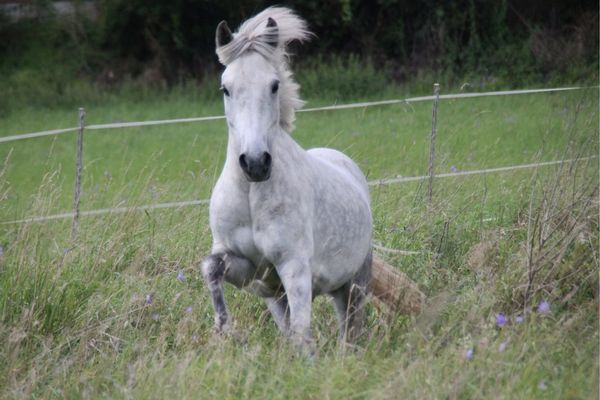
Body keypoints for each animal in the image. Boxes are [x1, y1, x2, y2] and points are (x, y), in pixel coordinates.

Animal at [202, 6, 370, 350]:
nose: (255, 163)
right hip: (278, 297)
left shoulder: (294, 268)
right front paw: (224, 326)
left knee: (349, 329)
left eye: (274, 85)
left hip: (353, 283)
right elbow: (211, 267)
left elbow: (302, 335)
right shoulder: (250, 270)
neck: (251, 195)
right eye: (226, 88)